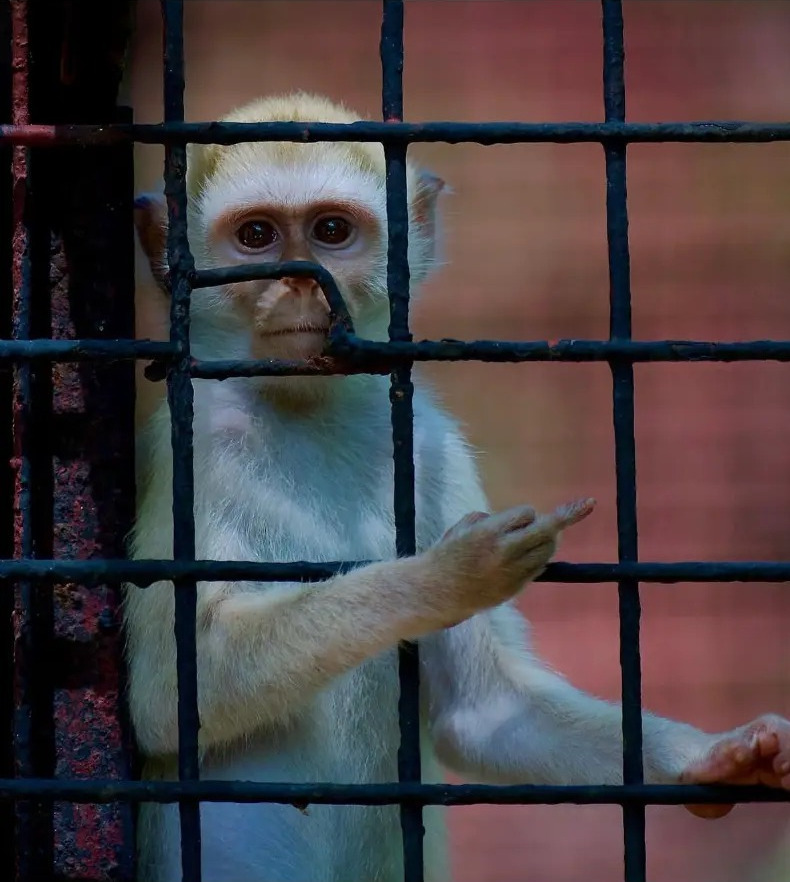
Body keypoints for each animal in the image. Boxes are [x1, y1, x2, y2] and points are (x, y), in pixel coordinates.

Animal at [126, 93, 790, 882]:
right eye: (257, 237)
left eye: (330, 232)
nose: (298, 280)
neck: (304, 403)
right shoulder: (195, 444)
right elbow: (165, 698)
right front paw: (443, 577)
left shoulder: (428, 443)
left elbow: (487, 713)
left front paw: (716, 760)